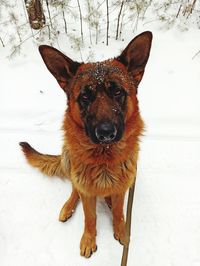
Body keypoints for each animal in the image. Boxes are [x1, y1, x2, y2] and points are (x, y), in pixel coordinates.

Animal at [19, 31, 152, 258]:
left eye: (117, 92)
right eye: (85, 96)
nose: (106, 133)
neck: (104, 157)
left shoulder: (122, 188)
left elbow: (119, 212)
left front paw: (121, 231)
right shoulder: (87, 192)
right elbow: (90, 217)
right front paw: (89, 239)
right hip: (68, 158)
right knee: (74, 188)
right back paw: (68, 206)